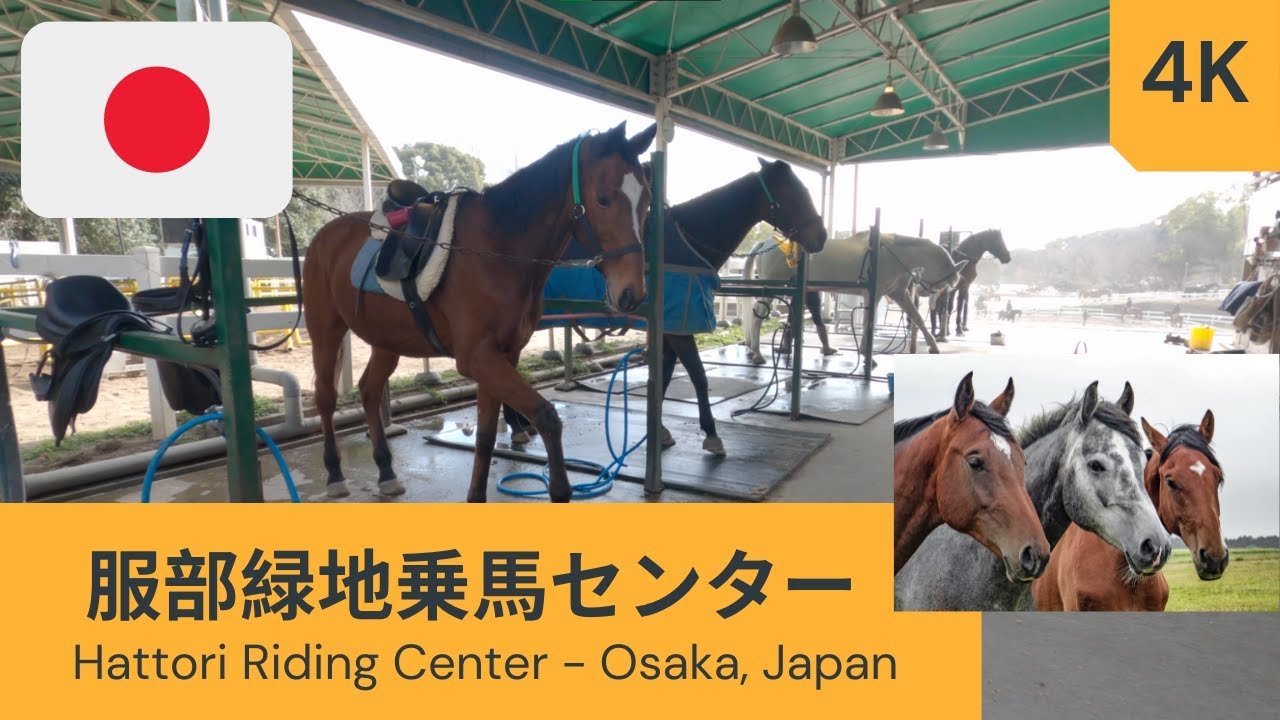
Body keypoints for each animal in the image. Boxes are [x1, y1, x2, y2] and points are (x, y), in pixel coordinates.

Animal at [302, 121, 657, 502]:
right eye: (603, 198)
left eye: (647, 202)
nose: (632, 294)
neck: (497, 248)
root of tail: (325, 234)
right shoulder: (477, 358)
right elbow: (546, 416)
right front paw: (559, 488)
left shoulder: (503, 355)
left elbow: (486, 437)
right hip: (325, 332)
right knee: (326, 398)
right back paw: (335, 475)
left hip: (387, 340)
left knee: (369, 390)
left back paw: (386, 472)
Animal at [503, 157, 827, 456]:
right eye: (794, 193)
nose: (821, 237)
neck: (686, 241)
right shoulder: (679, 331)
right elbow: (698, 376)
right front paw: (711, 434)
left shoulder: (669, 329)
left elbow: (665, 378)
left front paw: (659, 431)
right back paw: (517, 428)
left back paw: (521, 424)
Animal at [742, 231, 967, 358]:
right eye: (944, 281)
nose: (923, 291)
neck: (892, 253)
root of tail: (764, 244)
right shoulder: (873, 294)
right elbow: (868, 323)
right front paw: (866, 354)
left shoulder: (898, 294)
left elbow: (917, 318)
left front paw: (934, 347)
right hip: (773, 287)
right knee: (757, 316)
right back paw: (757, 353)